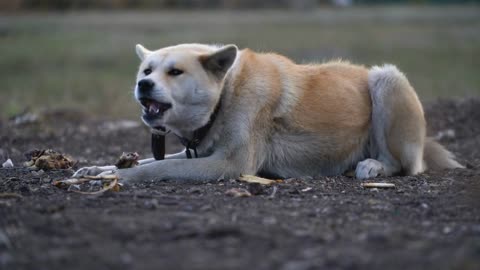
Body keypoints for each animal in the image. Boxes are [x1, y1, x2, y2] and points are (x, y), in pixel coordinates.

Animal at [73, 43, 464, 181]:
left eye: (175, 72)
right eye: (146, 70)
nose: (143, 85)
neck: (226, 94)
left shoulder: (231, 164)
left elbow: (158, 167)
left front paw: (112, 178)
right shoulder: (203, 152)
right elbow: (148, 161)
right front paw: (98, 168)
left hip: (386, 79)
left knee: (406, 165)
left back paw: (372, 166)